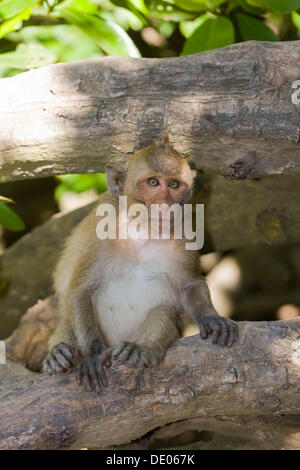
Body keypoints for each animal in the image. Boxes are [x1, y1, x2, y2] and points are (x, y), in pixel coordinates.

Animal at [43, 137, 238, 392]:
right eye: (153, 182)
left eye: (174, 185)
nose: (165, 203)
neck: (143, 231)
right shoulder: (100, 231)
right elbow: (79, 290)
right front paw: (92, 353)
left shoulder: (185, 235)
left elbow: (190, 285)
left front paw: (210, 317)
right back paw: (59, 355)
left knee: (163, 312)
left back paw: (142, 349)